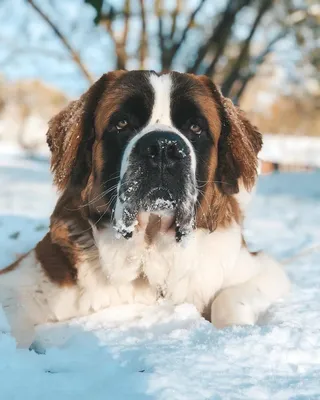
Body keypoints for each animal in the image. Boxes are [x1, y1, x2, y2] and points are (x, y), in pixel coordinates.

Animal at [0, 71, 290, 346]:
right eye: (122, 123)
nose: (162, 147)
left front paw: (235, 332)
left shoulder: (261, 267)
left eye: (195, 127)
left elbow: (229, 298)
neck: (148, 248)